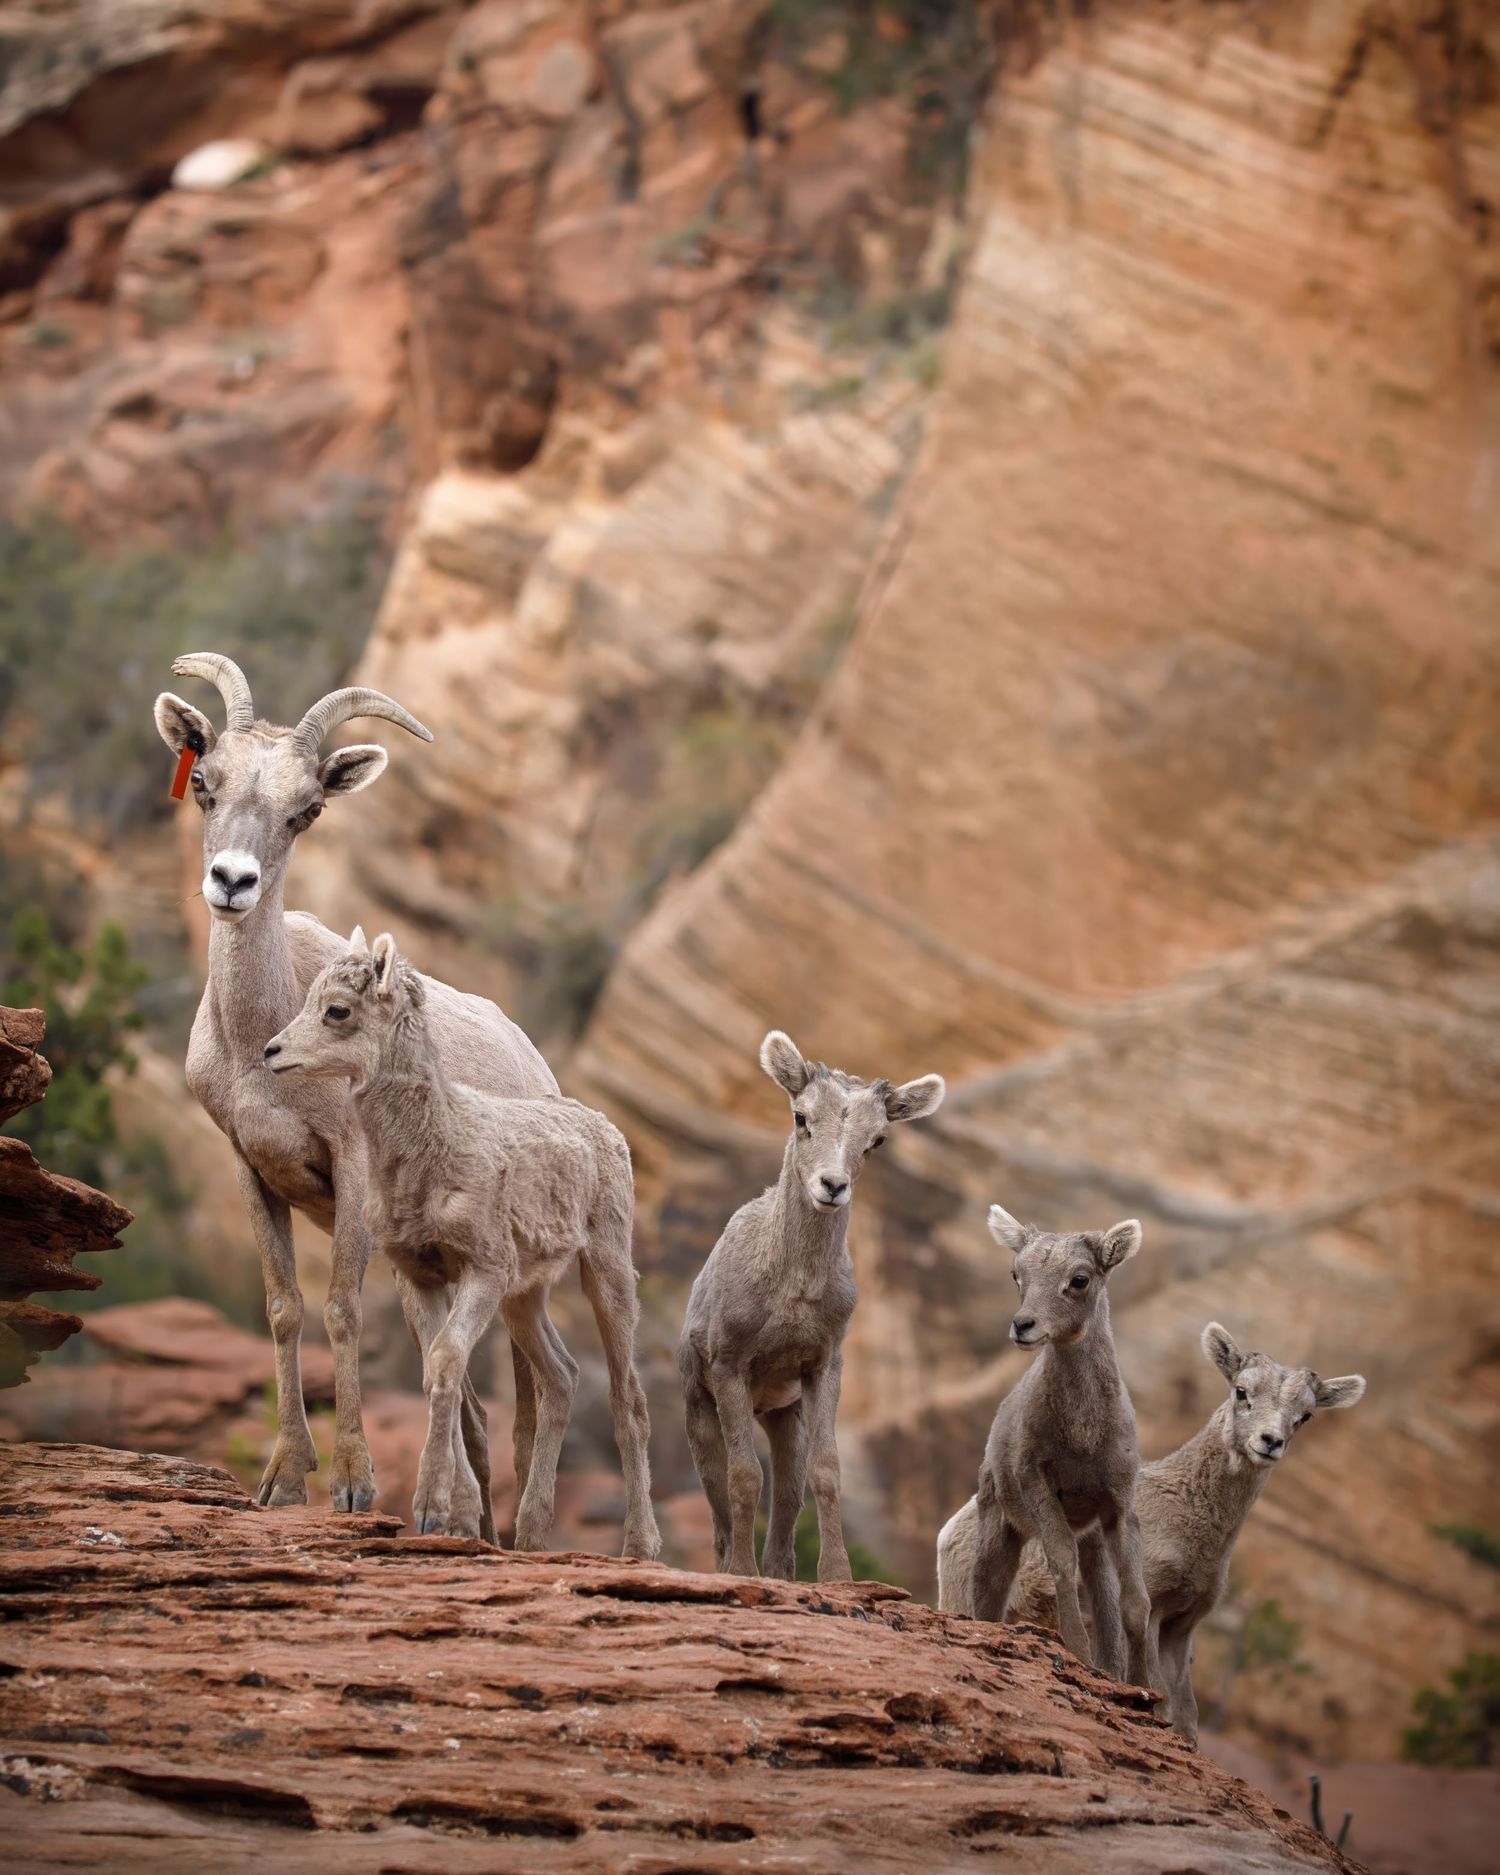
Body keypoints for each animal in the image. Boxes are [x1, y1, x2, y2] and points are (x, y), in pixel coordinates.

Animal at [154, 653, 558, 1532]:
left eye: (307, 810)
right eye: (204, 781)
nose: (231, 881)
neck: (258, 1046)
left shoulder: (351, 1174)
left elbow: (339, 1308)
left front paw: (351, 1484)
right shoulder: (251, 1169)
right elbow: (284, 1308)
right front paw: (282, 1480)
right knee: (470, 1398)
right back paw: (467, 1518)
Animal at [264, 932, 661, 1559]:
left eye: (338, 1011)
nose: (271, 1052)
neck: (433, 1149)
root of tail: (604, 1128)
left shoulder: (482, 1271)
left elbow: (448, 1359)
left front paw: (431, 1509)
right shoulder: (423, 1274)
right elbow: (436, 1369)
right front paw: (454, 1517)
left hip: (606, 1272)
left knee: (630, 1400)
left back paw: (640, 1547)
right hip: (524, 1299)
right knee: (561, 1376)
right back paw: (530, 1536)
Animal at [678, 1031, 944, 1580]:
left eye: (878, 1139)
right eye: (801, 1117)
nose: (832, 1186)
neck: (792, 1289)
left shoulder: (822, 1365)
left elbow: (825, 1472)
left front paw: (838, 1577)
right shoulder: (730, 1365)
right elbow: (743, 1477)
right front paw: (743, 1574)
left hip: (784, 1416)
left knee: (787, 1494)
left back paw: (782, 1573)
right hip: (700, 1408)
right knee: (717, 1502)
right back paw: (731, 1567)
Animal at [937, 1321, 1366, 1740]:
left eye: (1306, 1415)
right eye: (1242, 1391)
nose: (1270, 1442)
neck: (1193, 1520)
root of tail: (949, 1531)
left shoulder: (1182, 1625)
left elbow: (1188, 1719)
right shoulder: (1152, 1613)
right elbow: (1156, 1694)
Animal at [965, 1204, 1159, 1691]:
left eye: (1080, 1279)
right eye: (1016, 1274)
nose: (1023, 1326)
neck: (1083, 1437)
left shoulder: (1118, 1506)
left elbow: (1135, 1601)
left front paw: (1143, 1686)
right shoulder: (1039, 1486)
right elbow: (1061, 1566)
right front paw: (1078, 1654)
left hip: (1092, 1539)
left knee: (1105, 1599)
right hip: (999, 1526)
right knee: (985, 1596)